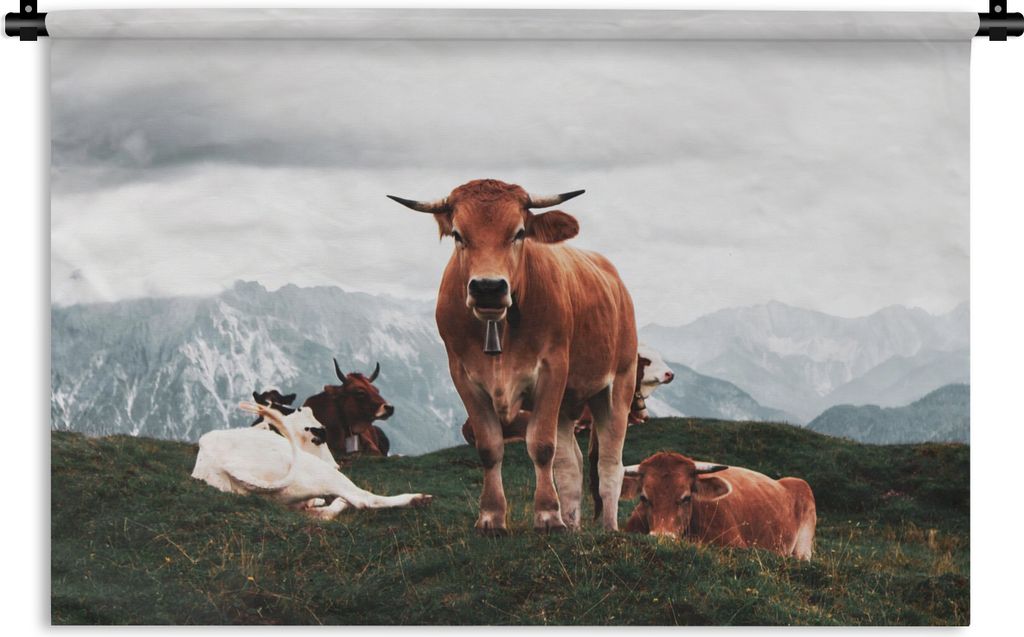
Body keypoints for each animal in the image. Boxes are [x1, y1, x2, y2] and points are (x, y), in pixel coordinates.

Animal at [192, 402, 431, 518]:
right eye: (320, 435)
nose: (335, 464)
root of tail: (224, 463)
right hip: (324, 474)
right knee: (363, 499)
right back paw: (417, 498)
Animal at [390, 179, 638, 533]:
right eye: (458, 234)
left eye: (519, 232)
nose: (488, 288)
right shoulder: (462, 375)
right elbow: (489, 447)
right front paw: (491, 517)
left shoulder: (552, 369)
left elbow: (542, 446)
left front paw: (548, 516)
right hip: (567, 403)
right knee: (570, 464)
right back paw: (573, 524)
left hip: (618, 384)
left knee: (609, 463)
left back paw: (608, 527)